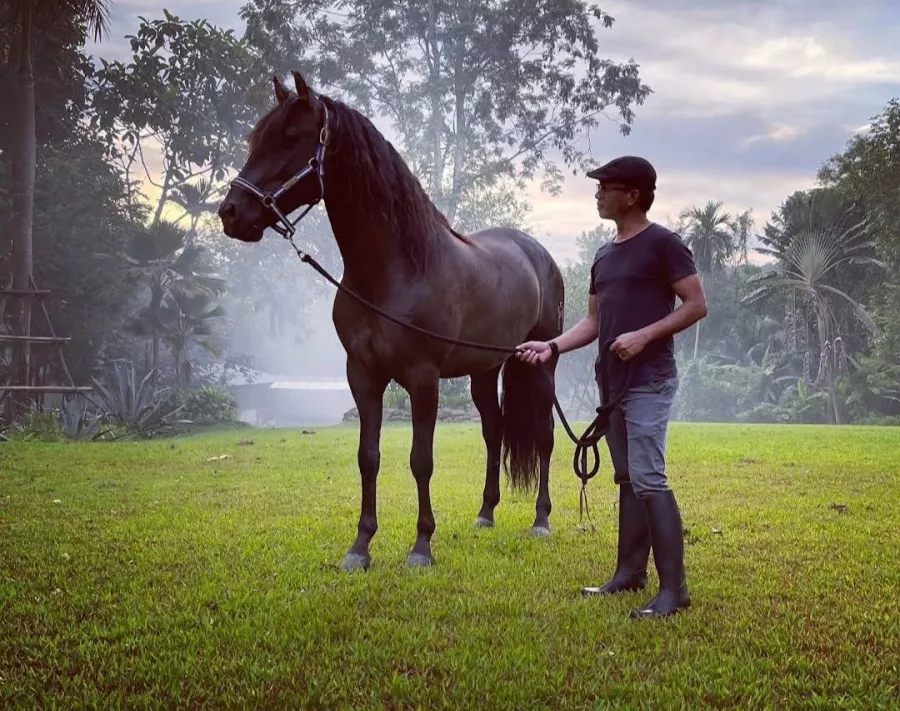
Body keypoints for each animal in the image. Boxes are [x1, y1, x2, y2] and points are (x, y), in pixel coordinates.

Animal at [218, 70, 565, 571]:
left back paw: (541, 519)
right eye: (256, 138)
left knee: (544, 435)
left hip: (541, 363)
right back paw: (485, 514)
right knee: (493, 431)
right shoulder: (362, 373)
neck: (395, 270)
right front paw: (360, 547)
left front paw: (421, 547)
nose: (230, 213)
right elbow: (369, 456)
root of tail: (538, 253)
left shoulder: (423, 378)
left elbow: (421, 460)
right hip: (485, 369)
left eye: (292, 137)